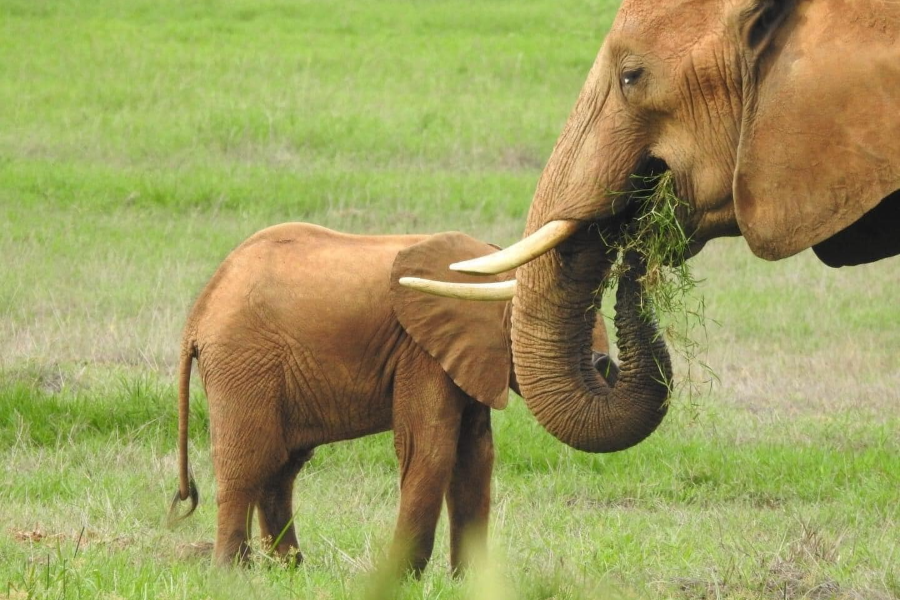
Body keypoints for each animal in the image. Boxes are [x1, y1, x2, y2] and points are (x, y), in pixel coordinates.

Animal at [167, 223, 620, 576]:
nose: (605, 364)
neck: (492, 266)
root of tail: (199, 311)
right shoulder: (421, 353)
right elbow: (431, 449)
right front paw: (401, 579)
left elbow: (476, 456)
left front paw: (468, 582)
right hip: (242, 362)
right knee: (249, 462)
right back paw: (233, 574)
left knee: (281, 467)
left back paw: (290, 570)